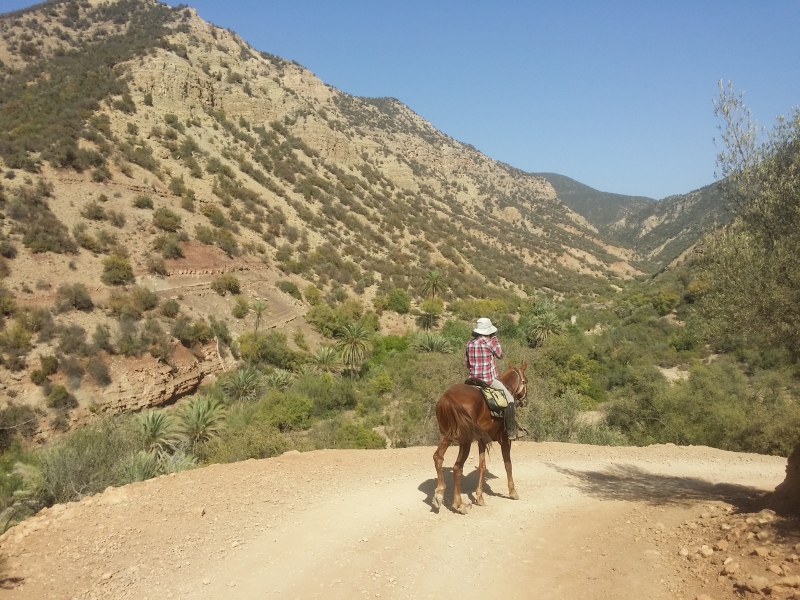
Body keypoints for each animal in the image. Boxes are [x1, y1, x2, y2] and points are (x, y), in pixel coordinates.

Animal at [434, 364, 528, 512]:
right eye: (526, 381)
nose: (525, 400)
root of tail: (448, 398)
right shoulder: (505, 441)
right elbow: (508, 464)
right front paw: (513, 492)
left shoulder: (482, 441)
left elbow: (482, 467)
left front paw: (480, 497)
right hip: (465, 441)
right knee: (457, 468)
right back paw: (459, 504)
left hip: (446, 436)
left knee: (438, 457)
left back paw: (439, 494)